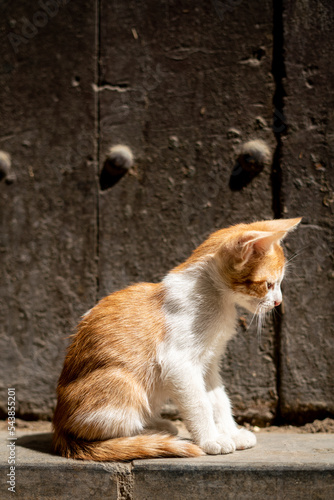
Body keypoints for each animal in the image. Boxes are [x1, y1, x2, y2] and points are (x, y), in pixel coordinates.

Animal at [52, 218, 300, 460]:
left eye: (279, 284)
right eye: (269, 284)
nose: (278, 301)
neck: (216, 299)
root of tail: (58, 426)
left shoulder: (209, 362)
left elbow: (218, 399)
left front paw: (231, 432)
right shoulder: (179, 363)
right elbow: (200, 403)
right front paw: (211, 439)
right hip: (123, 382)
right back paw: (149, 434)